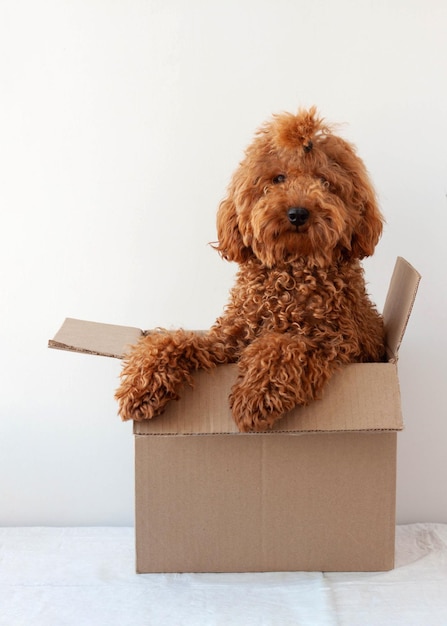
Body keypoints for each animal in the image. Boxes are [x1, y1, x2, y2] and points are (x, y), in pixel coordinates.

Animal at [116, 107, 384, 428]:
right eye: (278, 178)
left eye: (323, 181)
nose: (298, 213)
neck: (292, 270)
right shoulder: (227, 343)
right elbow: (175, 340)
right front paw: (142, 383)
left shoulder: (337, 342)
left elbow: (284, 345)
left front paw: (256, 394)